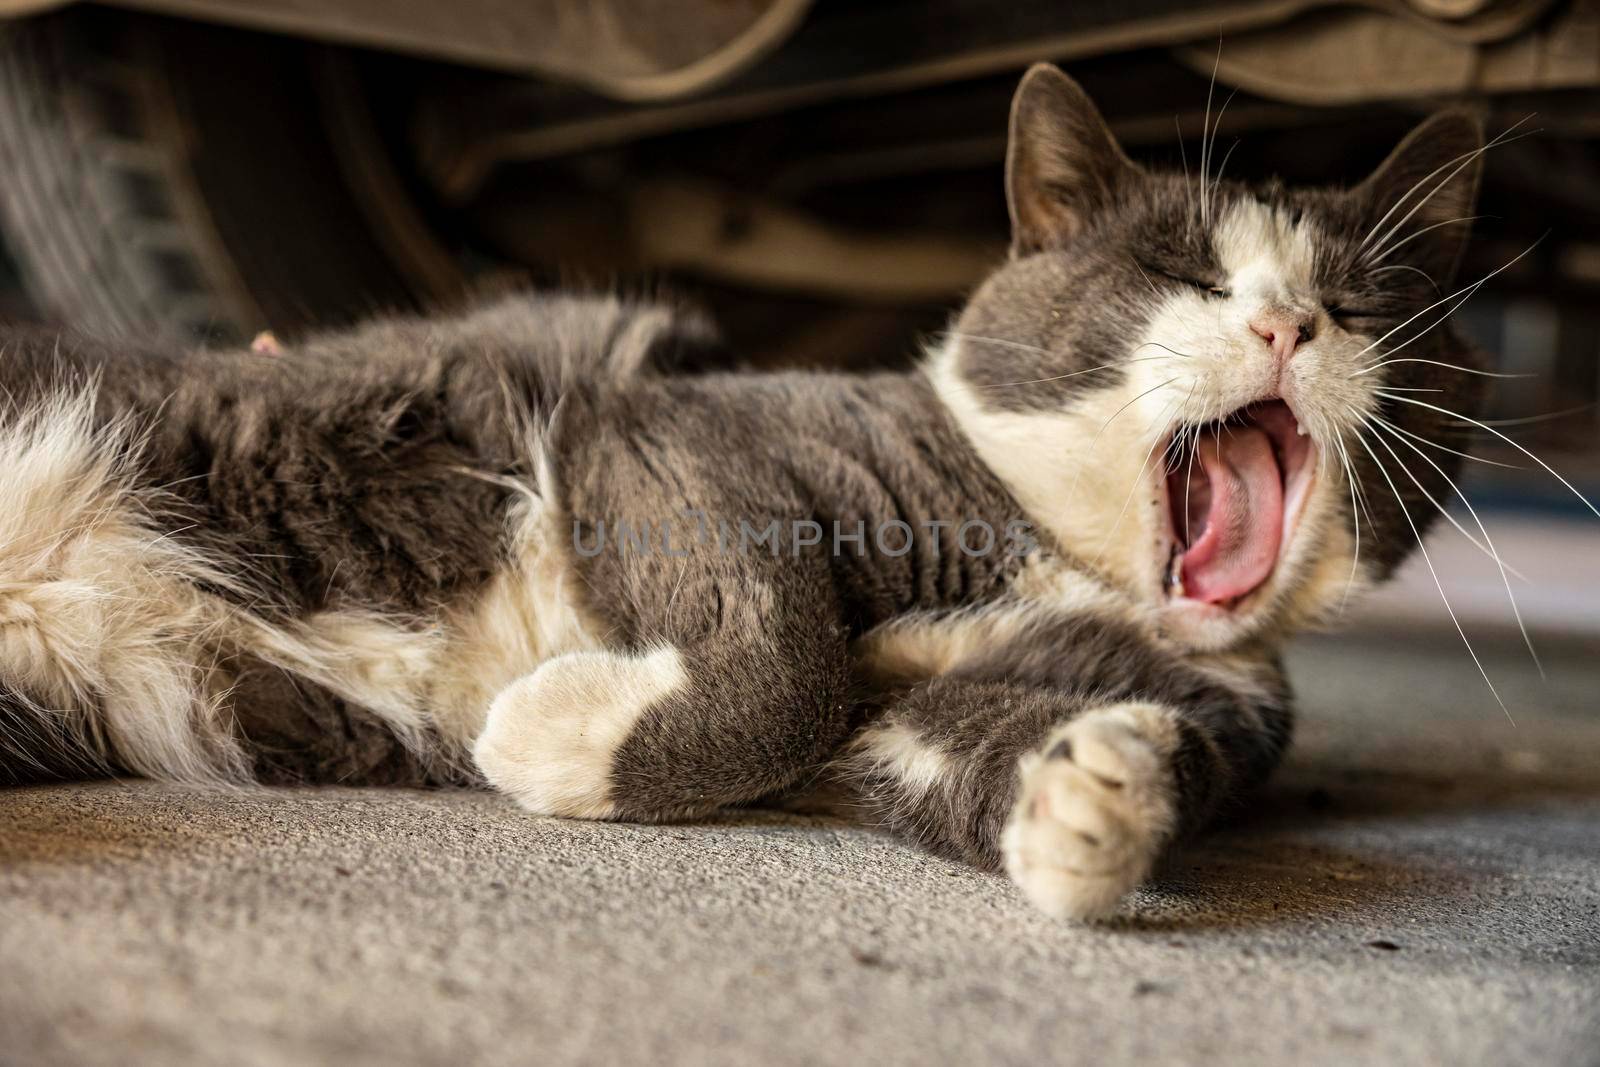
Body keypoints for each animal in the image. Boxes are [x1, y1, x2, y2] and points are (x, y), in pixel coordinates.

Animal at [3, 64, 1497, 921]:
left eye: (1362, 306)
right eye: (1178, 272)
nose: (1289, 324)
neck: (1060, 561)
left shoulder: (1075, 700)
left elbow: (923, 747)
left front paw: (1101, 795)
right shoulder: (673, 433)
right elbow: (792, 662)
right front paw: (548, 736)